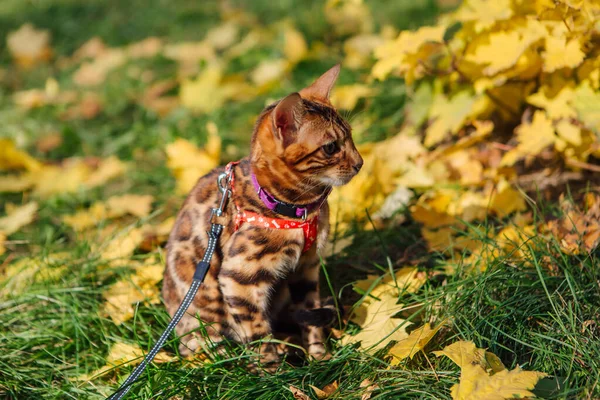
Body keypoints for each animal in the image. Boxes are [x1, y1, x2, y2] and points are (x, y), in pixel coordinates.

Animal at [162, 65, 364, 368]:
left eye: (350, 135)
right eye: (330, 147)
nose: (360, 163)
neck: (297, 208)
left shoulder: (306, 266)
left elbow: (310, 315)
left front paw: (319, 355)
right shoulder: (238, 280)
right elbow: (257, 334)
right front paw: (275, 372)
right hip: (203, 323)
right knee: (209, 350)